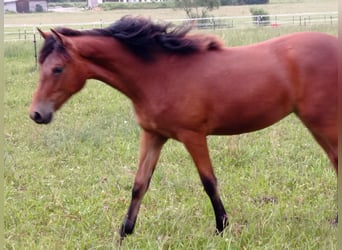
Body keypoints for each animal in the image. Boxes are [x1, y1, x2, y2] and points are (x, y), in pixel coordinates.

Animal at [30, 16, 340, 239]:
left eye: (57, 69)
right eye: (40, 66)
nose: (37, 114)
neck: (160, 73)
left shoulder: (194, 137)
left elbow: (209, 182)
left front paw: (222, 228)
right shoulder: (153, 135)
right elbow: (139, 184)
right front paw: (124, 233)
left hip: (323, 123)